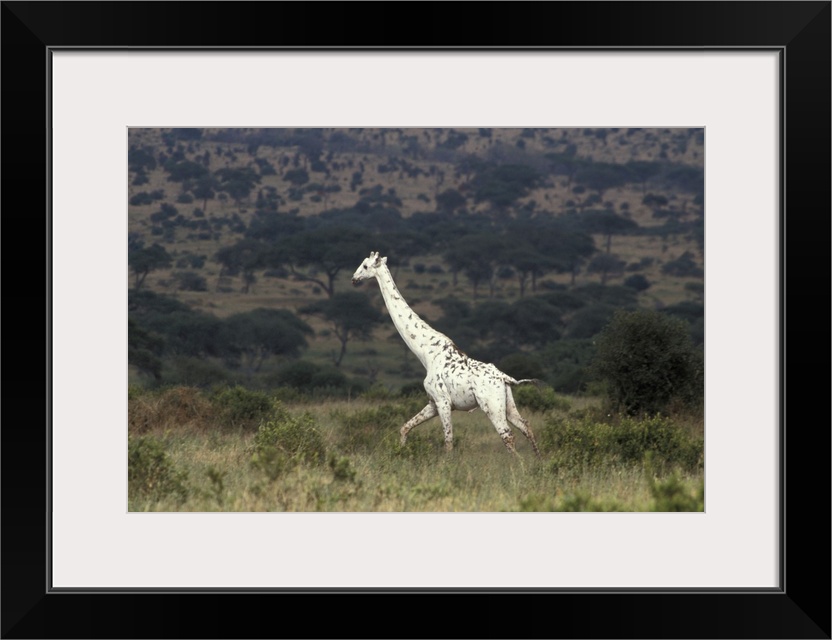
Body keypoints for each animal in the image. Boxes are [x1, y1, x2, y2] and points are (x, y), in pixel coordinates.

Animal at [351, 251, 541, 456]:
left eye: (365, 266)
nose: (354, 279)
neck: (425, 353)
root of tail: (505, 377)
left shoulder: (443, 401)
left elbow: (448, 441)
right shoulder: (433, 402)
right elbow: (405, 427)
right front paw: (400, 452)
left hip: (492, 405)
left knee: (508, 436)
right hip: (507, 404)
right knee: (526, 426)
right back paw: (538, 460)